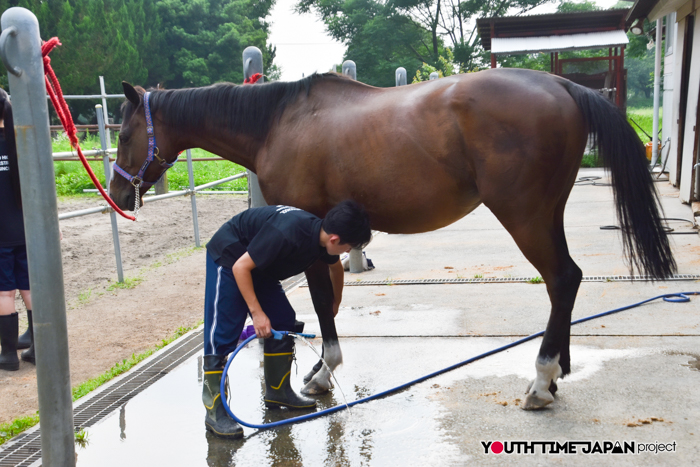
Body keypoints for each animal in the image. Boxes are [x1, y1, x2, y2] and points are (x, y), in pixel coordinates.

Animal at [109, 69, 675, 410]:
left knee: (561, 278)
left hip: (526, 216)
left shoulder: (314, 236)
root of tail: (561, 84)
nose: (116, 192)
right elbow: (332, 298)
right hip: (546, 213)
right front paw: (320, 366)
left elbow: (323, 302)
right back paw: (556, 373)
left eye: (123, 133)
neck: (279, 122)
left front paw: (322, 374)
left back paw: (539, 381)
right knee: (569, 279)